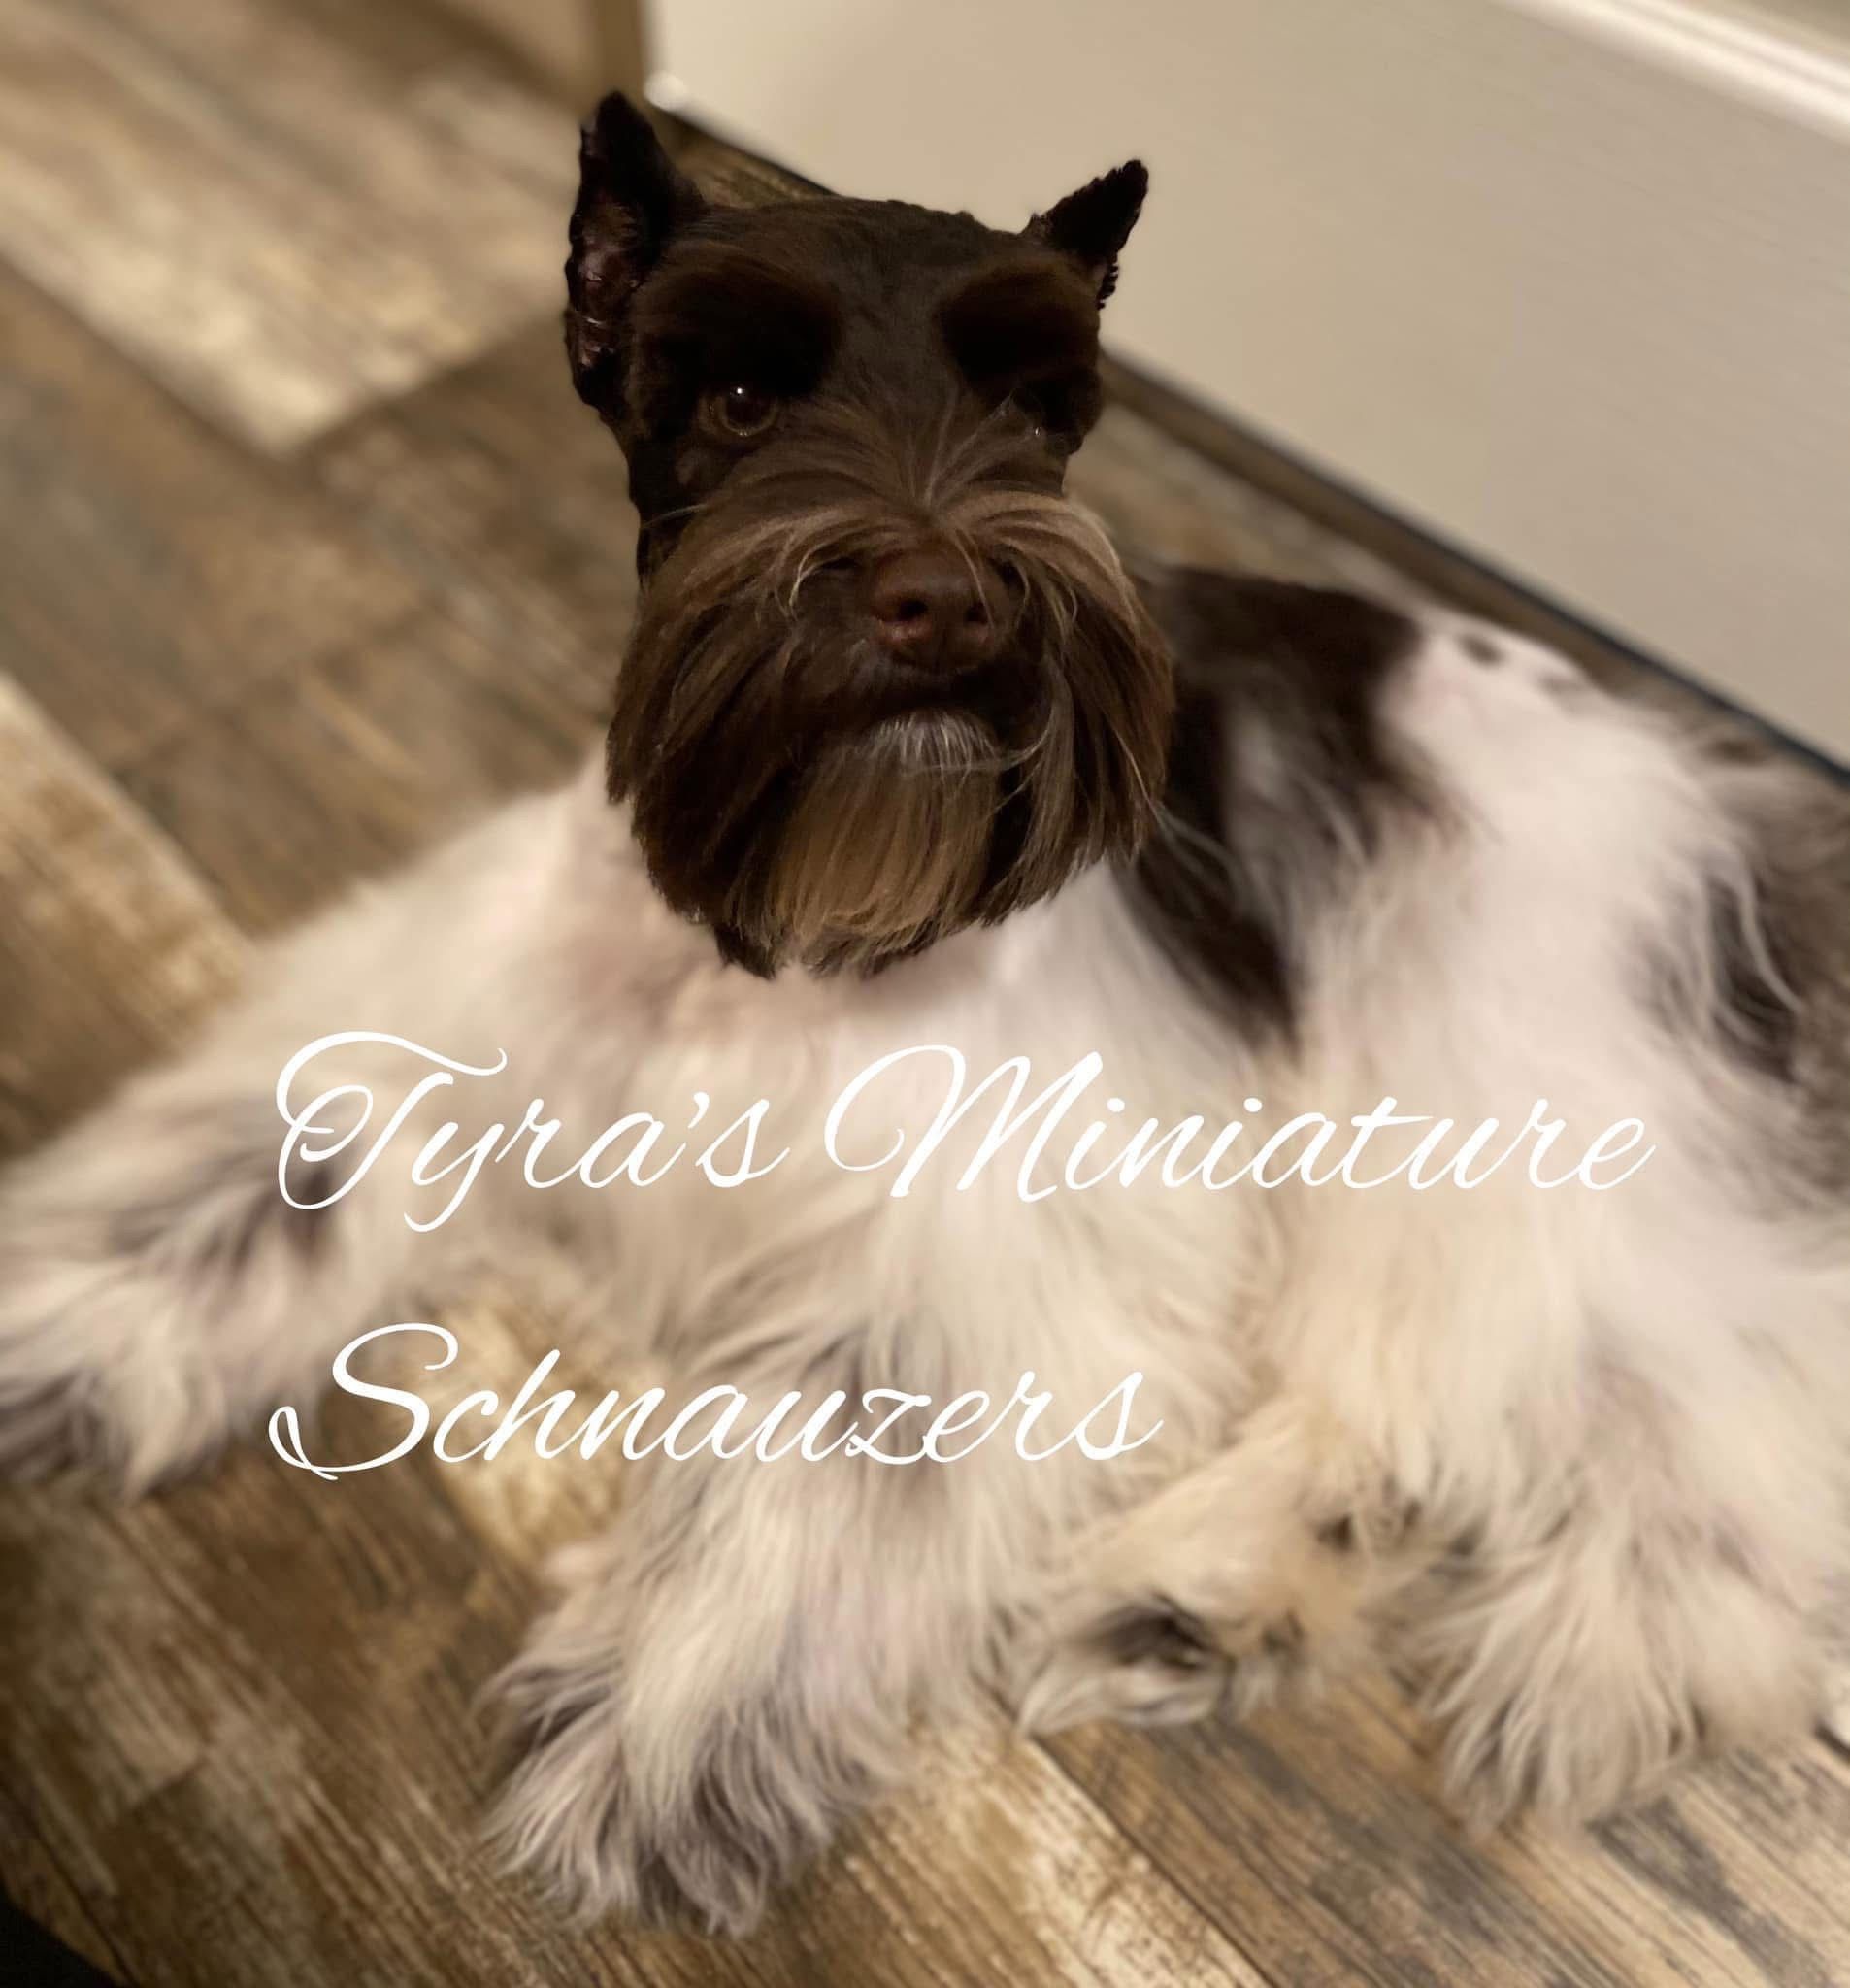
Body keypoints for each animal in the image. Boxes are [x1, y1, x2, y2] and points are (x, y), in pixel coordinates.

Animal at [3, 92, 1848, 1936]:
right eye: (738, 398)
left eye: (1039, 410)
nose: (949, 598)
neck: (793, 931)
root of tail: (1707, 786)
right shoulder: (459, 999)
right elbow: (267, 1164)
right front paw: (62, 1319)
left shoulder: (976, 1248)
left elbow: (819, 1448)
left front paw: (664, 1713)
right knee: (1416, 1404)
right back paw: (1199, 1601)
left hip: (1511, 1086)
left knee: (1679, 1402)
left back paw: (1604, 1643)